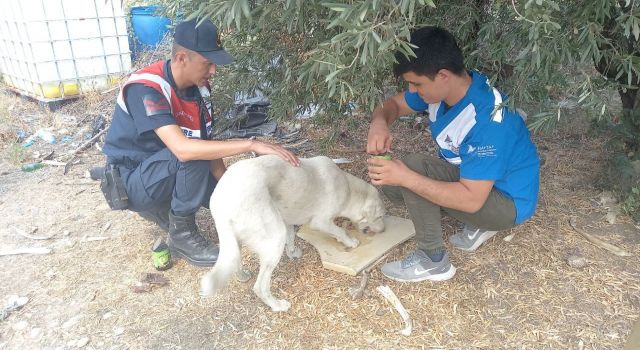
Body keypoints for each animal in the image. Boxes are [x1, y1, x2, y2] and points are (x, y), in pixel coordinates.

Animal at [200, 155, 384, 312]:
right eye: (381, 216)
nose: (383, 230)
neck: (349, 189)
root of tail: (221, 203)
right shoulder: (321, 222)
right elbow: (339, 230)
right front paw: (350, 242)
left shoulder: (287, 219)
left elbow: (291, 237)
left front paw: (293, 253)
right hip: (274, 236)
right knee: (260, 287)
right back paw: (278, 306)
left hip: (240, 237)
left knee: (235, 260)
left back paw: (243, 275)